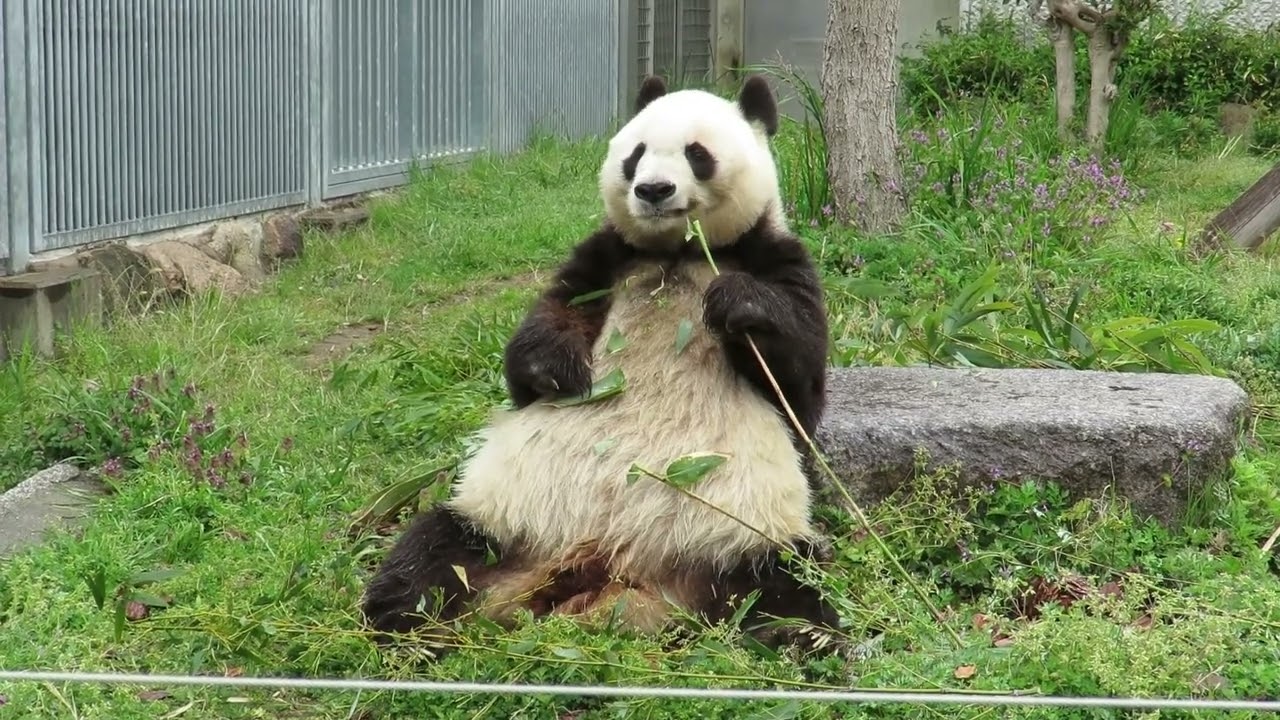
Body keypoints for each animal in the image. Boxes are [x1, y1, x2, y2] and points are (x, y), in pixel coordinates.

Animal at [361, 74, 842, 657]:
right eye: (635, 155)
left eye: (697, 154)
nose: (653, 191)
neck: (676, 254)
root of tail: (605, 570)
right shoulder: (605, 259)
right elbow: (543, 332)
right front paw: (557, 370)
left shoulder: (774, 257)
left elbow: (799, 381)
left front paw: (739, 304)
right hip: (503, 521)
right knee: (433, 551)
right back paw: (399, 623)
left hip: (739, 535)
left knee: (785, 583)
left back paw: (800, 638)